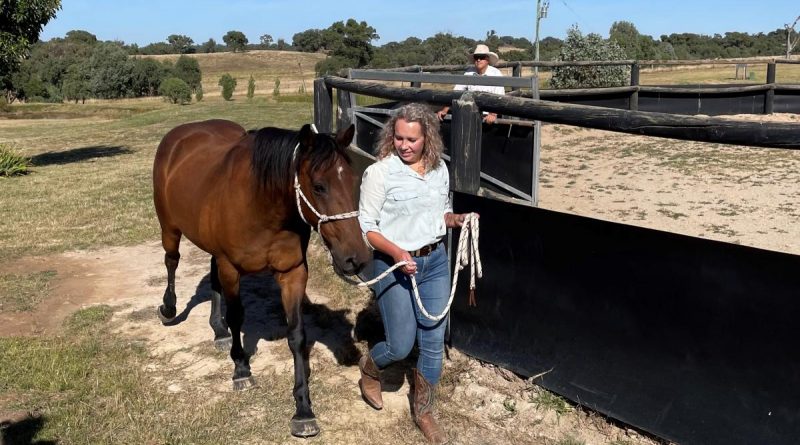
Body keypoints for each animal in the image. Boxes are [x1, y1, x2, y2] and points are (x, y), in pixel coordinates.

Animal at [153, 118, 372, 438]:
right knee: (172, 261)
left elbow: (297, 335)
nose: (356, 259)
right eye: (319, 186)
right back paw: (169, 309)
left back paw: (218, 332)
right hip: (170, 228)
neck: (261, 206)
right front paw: (241, 370)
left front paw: (303, 409)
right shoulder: (231, 267)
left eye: (355, 182)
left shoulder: (293, 273)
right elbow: (237, 317)